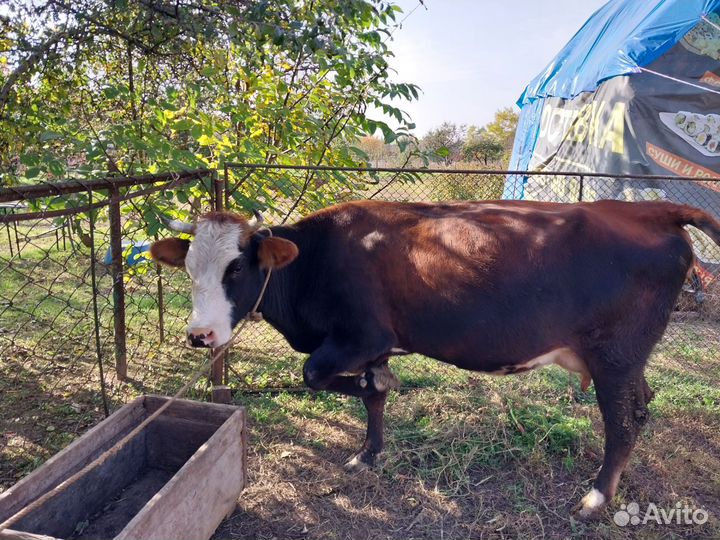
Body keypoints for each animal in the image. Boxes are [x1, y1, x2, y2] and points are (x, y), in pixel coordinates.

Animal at [150, 199, 720, 518]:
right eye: (190, 268)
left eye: (237, 269)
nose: (200, 335)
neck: (319, 258)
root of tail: (647, 209)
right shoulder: (373, 345)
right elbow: (372, 397)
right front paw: (370, 451)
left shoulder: (360, 336)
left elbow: (318, 375)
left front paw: (379, 397)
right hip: (629, 360)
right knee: (642, 405)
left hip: (614, 358)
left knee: (621, 422)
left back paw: (598, 498)